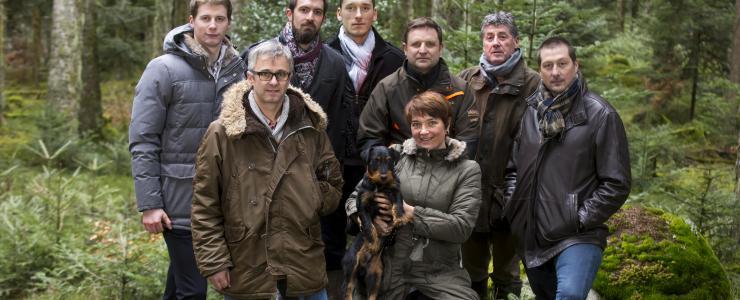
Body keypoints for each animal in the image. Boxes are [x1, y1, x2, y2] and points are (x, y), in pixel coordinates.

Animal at [342, 145, 410, 300]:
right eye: (375, 161)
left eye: (389, 160)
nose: (384, 176)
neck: (380, 185)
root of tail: (363, 267)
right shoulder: (362, 205)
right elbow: (369, 225)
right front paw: (372, 244)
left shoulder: (395, 190)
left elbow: (398, 204)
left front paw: (400, 218)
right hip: (351, 264)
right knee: (348, 288)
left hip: (375, 275)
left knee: (372, 294)